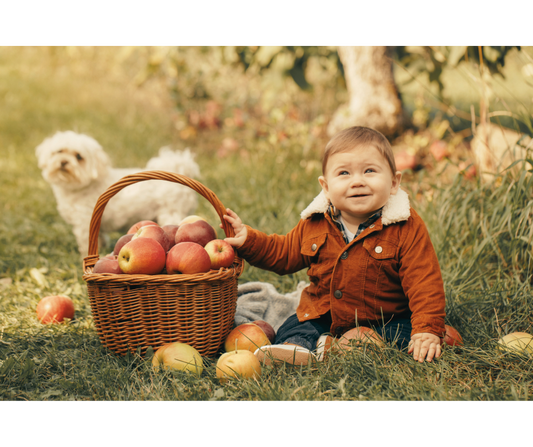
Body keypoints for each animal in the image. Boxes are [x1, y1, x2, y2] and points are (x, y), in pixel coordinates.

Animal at [35, 130, 202, 256]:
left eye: (79, 157)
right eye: (59, 151)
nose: (63, 162)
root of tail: (181, 170)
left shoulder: (83, 223)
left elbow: (84, 243)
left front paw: (83, 255)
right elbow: (100, 239)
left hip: (171, 214)